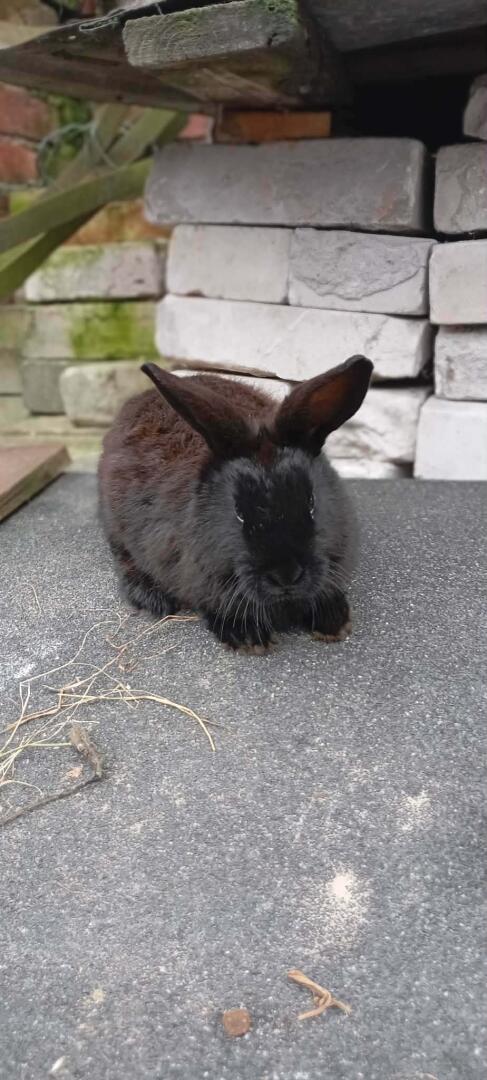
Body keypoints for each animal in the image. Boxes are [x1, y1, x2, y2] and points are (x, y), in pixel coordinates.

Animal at [98, 356, 373, 651]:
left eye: (311, 502)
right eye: (239, 512)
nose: (286, 575)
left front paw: (334, 621)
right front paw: (248, 638)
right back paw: (151, 598)